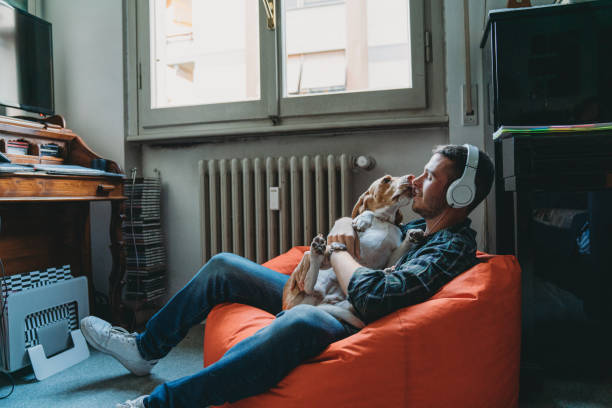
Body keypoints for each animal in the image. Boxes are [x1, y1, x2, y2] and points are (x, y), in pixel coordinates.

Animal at [280, 175, 420, 328]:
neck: (384, 221)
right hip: (313, 281)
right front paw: (362, 220)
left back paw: (386, 271)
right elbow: (367, 213)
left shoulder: (391, 255)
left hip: (348, 303)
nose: (411, 177)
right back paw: (317, 250)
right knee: (307, 284)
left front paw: (413, 234)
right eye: (386, 180)